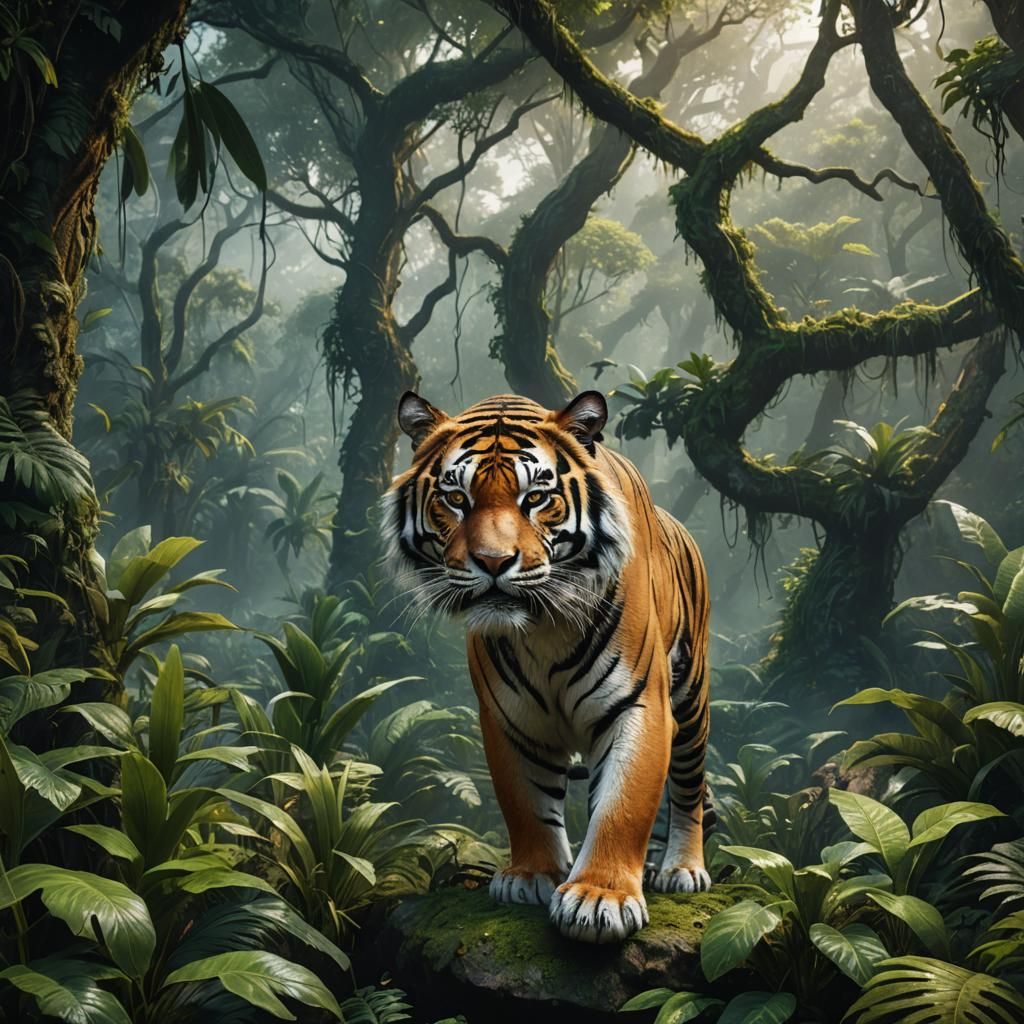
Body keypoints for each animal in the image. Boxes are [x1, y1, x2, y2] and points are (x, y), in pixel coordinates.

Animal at [382, 390, 711, 944]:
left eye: (535, 497)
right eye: (456, 498)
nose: (493, 562)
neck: (542, 626)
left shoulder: (640, 705)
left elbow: (624, 804)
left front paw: (600, 897)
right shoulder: (507, 717)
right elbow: (525, 802)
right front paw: (532, 876)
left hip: (691, 699)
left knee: (689, 787)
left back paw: (681, 869)